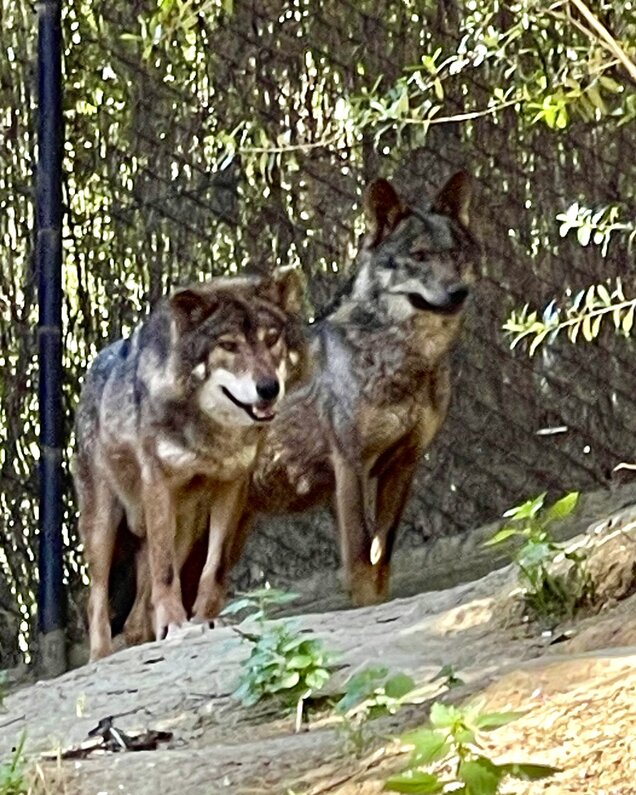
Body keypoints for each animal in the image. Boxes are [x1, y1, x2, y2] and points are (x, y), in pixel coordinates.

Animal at [74, 269, 308, 660]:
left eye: (271, 339)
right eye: (228, 346)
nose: (268, 388)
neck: (214, 431)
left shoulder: (233, 486)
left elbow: (214, 568)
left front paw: (203, 619)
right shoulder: (157, 486)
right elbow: (166, 572)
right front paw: (174, 625)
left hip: (185, 525)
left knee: (137, 614)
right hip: (104, 523)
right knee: (96, 598)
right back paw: (101, 656)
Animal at [217, 171, 480, 606]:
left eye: (456, 254)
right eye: (420, 256)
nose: (459, 291)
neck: (402, 359)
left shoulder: (403, 466)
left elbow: (381, 557)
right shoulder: (349, 465)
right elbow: (359, 558)